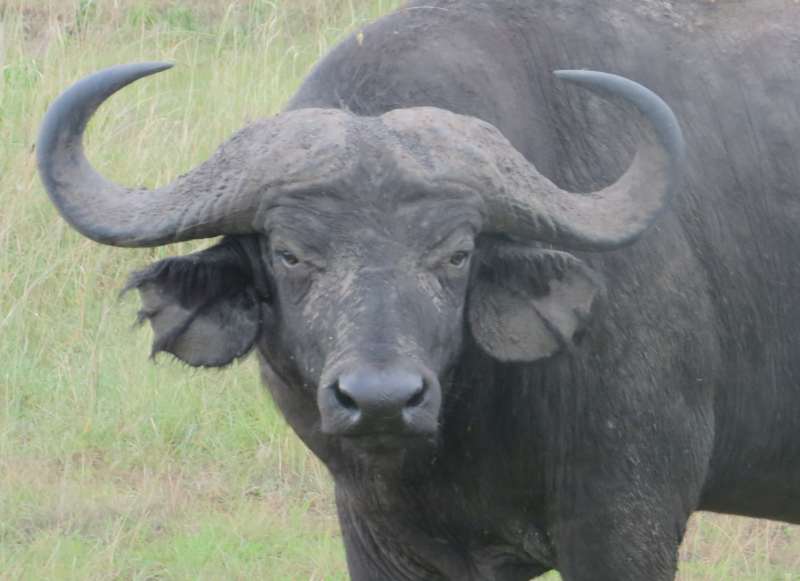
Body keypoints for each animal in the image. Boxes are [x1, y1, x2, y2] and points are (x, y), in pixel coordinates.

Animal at [37, 0, 800, 579]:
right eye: (289, 254)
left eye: (456, 253)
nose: (380, 399)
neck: (461, 436)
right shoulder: (379, 533)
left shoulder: (627, 518)